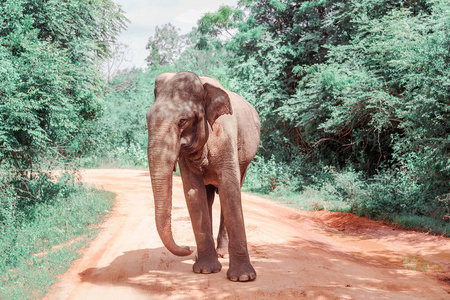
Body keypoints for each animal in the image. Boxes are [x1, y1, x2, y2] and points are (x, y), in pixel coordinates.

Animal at [146, 71, 262, 282]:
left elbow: (229, 189)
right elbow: (193, 193)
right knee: (208, 197)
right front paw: (205, 270)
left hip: (246, 159)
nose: (187, 248)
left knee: (232, 190)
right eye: (147, 119)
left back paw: (223, 254)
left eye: (182, 121)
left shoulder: (226, 137)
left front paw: (243, 278)